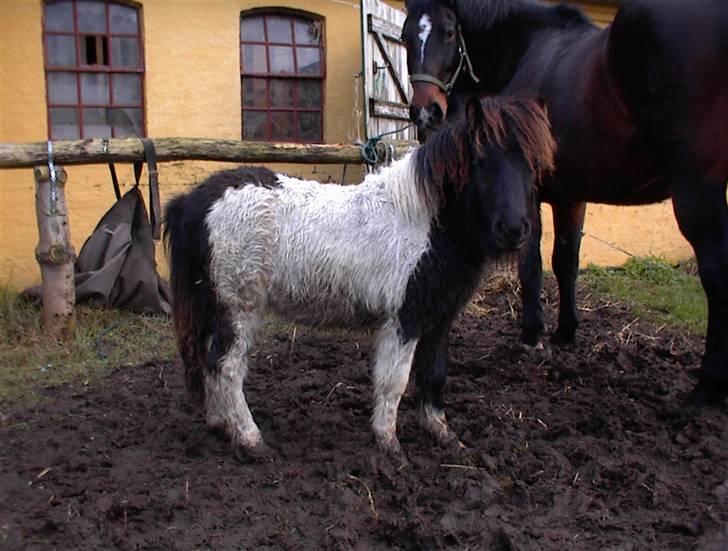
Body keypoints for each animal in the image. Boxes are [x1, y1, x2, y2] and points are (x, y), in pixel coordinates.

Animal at [164, 97, 552, 464]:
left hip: (214, 305)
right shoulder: (404, 319)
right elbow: (394, 382)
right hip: (238, 307)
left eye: (532, 166)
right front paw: (390, 446)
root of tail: (192, 202)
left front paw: (443, 435)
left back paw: (220, 425)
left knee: (208, 361)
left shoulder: (439, 317)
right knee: (227, 366)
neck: (423, 223)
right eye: (481, 161)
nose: (514, 230)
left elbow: (434, 374)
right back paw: (251, 440)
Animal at [400, 0, 724, 406]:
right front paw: (565, 333)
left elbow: (532, 265)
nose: (426, 112)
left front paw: (531, 334)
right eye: (405, 36)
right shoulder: (572, 197)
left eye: (448, 32)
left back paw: (708, 385)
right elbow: (566, 262)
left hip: (698, 190)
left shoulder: (529, 193)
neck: (523, 50)